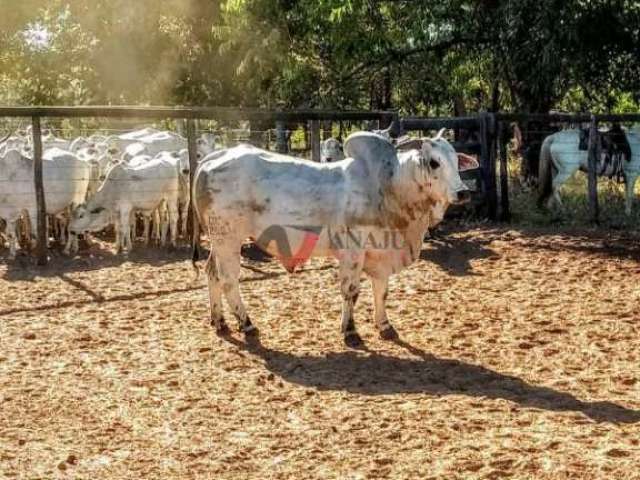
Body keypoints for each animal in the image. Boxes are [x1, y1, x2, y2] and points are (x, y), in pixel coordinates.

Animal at [192, 129, 478, 344]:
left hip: (218, 241)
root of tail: (211, 159)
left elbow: (381, 291)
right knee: (229, 280)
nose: (463, 192)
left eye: (456, 160)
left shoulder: (380, 254)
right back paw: (247, 324)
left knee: (211, 273)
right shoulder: (352, 252)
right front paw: (350, 330)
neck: (390, 186)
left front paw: (384, 325)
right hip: (228, 239)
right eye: (434, 162)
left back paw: (219, 321)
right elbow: (351, 291)